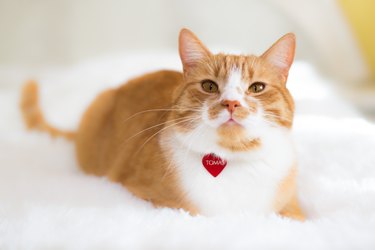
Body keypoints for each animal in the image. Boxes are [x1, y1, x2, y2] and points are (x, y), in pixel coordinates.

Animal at [20, 28, 306, 221]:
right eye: (209, 86)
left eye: (256, 88)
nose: (231, 103)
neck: (232, 161)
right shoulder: (147, 197)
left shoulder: (290, 207)